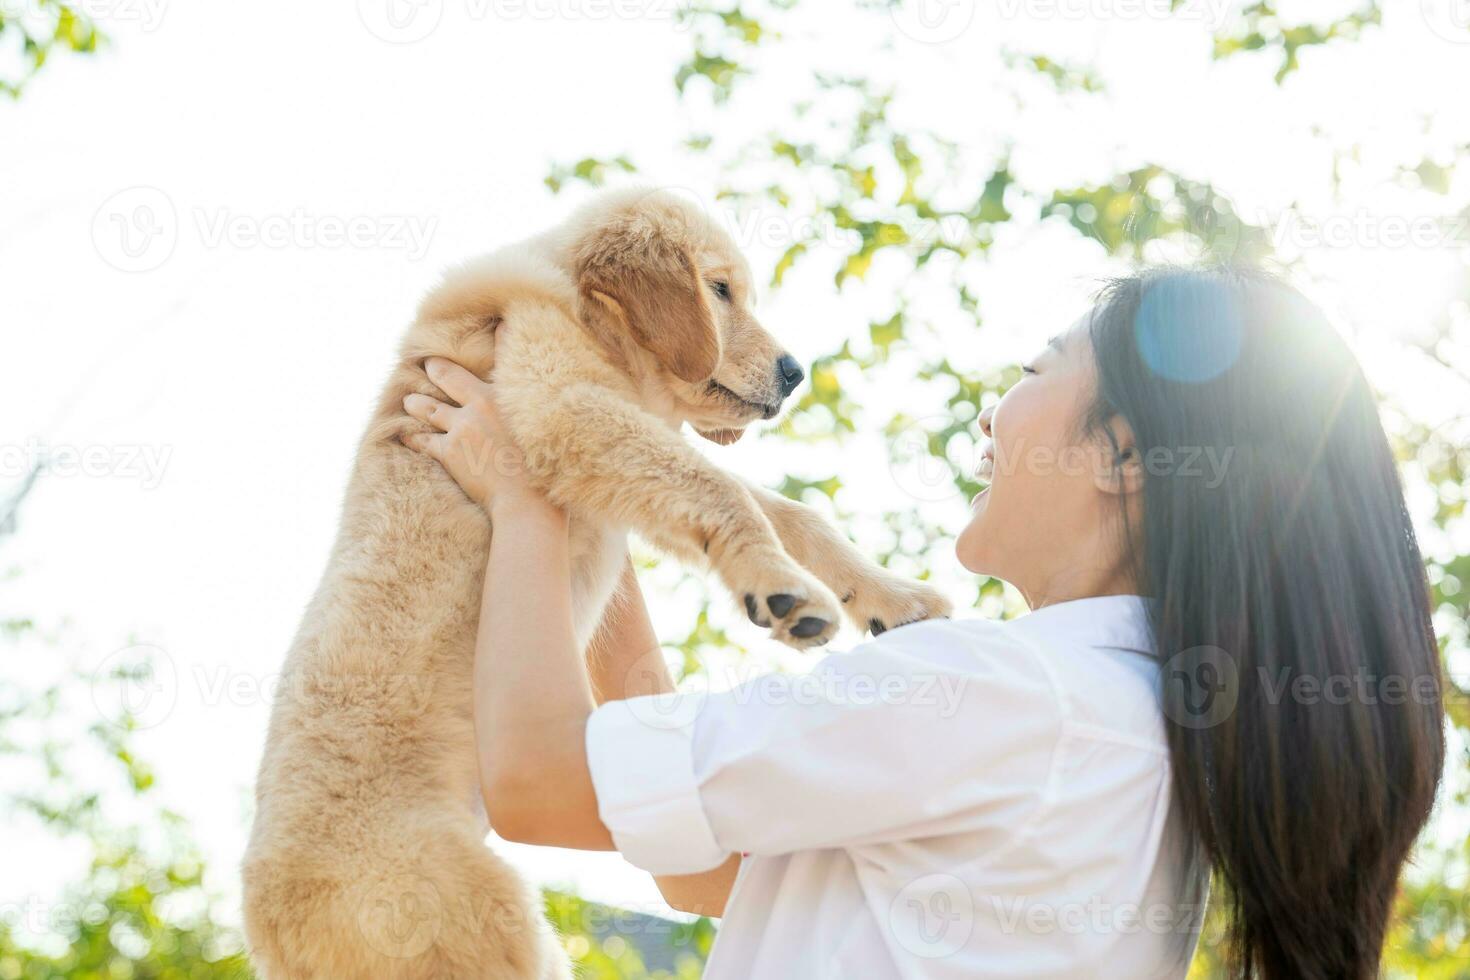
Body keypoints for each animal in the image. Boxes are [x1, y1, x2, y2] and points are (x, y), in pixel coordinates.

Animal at [241, 188, 952, 975]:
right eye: (720, 290)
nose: (796, 372)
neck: (585, 309)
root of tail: (272, 923)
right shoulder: (567, 405)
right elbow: (724, 491)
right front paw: (783, 589)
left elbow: (789, 513)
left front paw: (893, 598)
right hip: (481, 925)